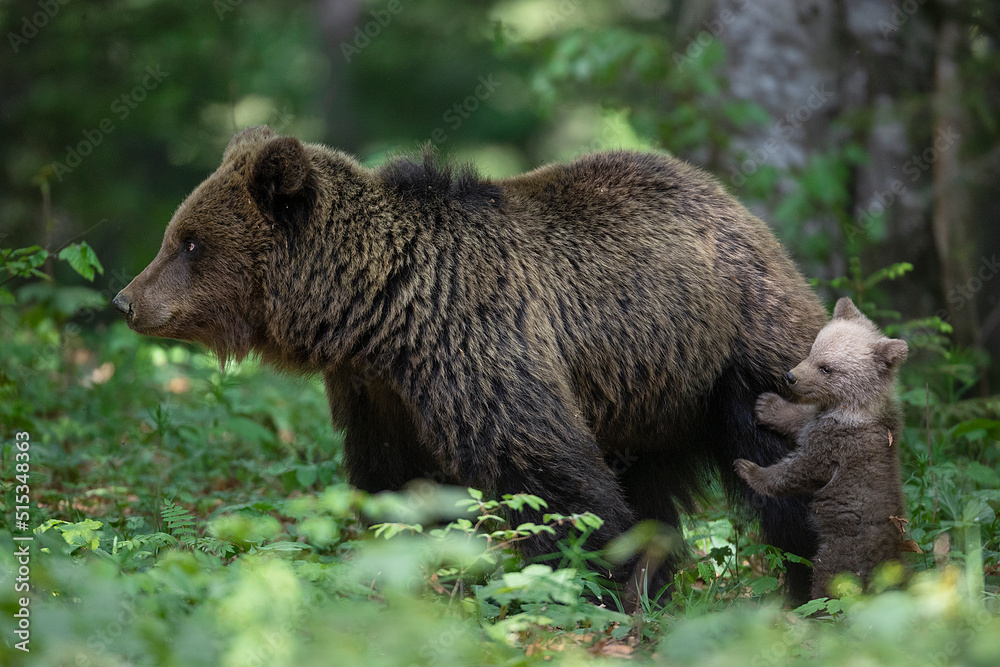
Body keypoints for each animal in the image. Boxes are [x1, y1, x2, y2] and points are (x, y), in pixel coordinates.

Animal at [113, 125, 828, 599]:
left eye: (190, 242)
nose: (127, 300)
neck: (377, 313)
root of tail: (738, 207)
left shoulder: (478, 346)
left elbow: (544, 472)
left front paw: (583, 580)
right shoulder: (379, 394)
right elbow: (394, 484)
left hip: (737, 354)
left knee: (786, 464)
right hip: (647, 393)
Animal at [734, 297, 909, 599]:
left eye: (827, 368)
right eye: (813, 350)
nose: (791, 376)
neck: (855, 409)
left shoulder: (835, 444)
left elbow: (797, 471)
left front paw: (749, 469)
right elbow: (800, 419)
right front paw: (768, 405)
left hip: (841, 553)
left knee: (829, 585)